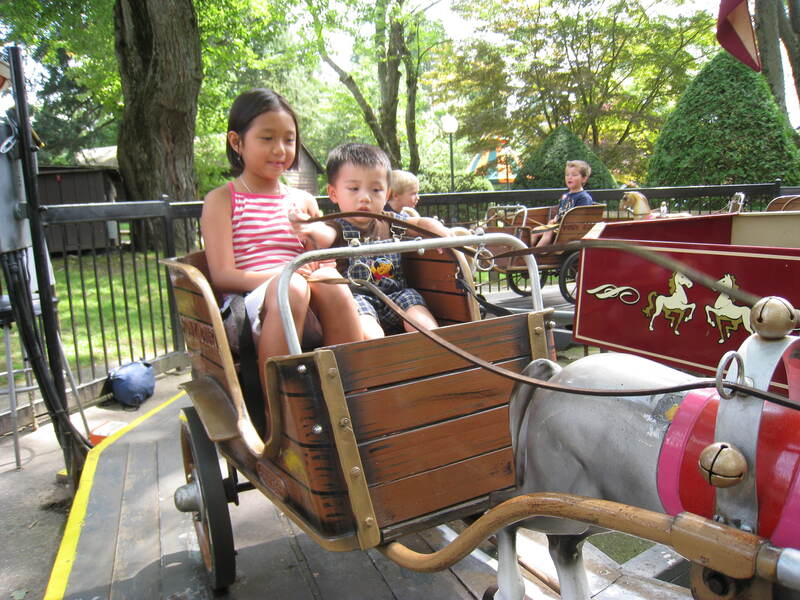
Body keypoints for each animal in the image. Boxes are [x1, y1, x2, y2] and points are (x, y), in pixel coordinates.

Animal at [492, 296, 800, 600]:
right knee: (504, 510)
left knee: (563, 547)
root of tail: (556, 376)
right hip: (554, 488)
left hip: (595, 505)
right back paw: (508, 590)